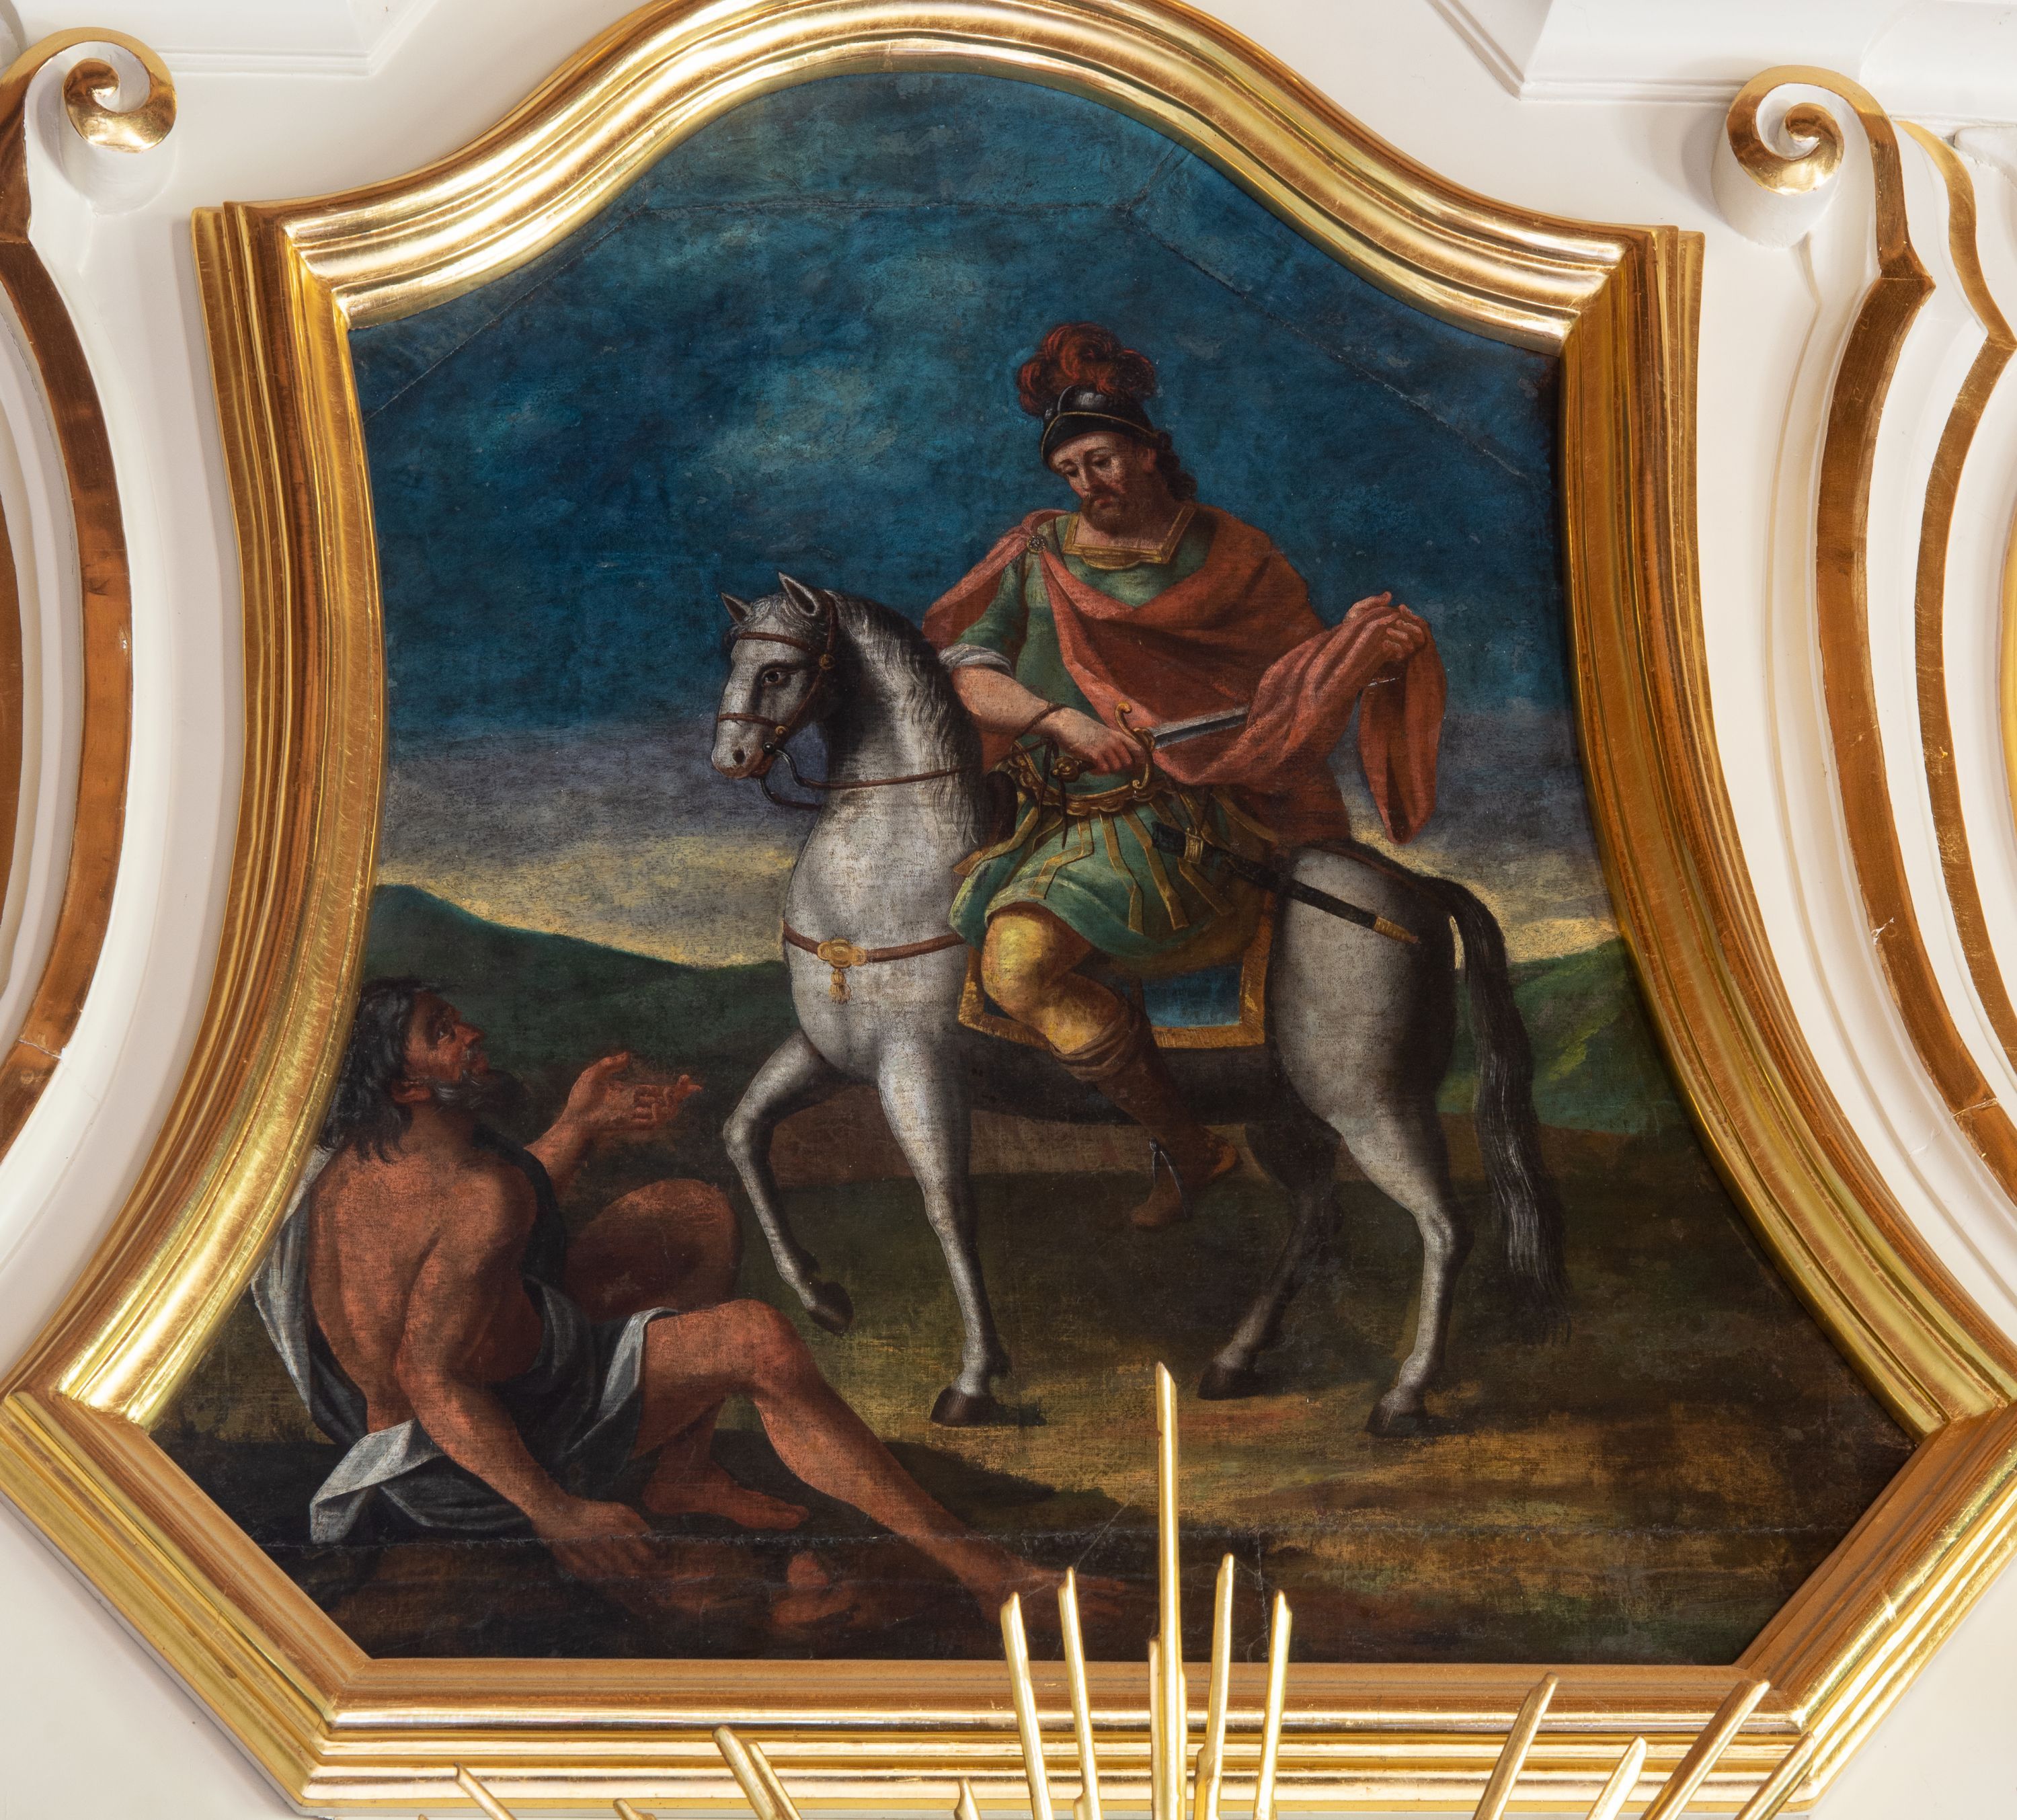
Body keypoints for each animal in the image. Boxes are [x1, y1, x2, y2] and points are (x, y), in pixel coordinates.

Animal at [710, 573, 1567, 1432]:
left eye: (778, 670)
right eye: (738, 659)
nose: (731, 758)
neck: (895, 863)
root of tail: (1413, 889)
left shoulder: (914, 1069)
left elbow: (948, 1206)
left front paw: (975, 1379)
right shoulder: (829, 1054)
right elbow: (744, 1134)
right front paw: (824, 1299)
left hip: (1372, 1105)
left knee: (1443, 1227)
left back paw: (1404, 1394)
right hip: (1286, 1110)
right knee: (1318, 1220)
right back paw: (1235, 1358)